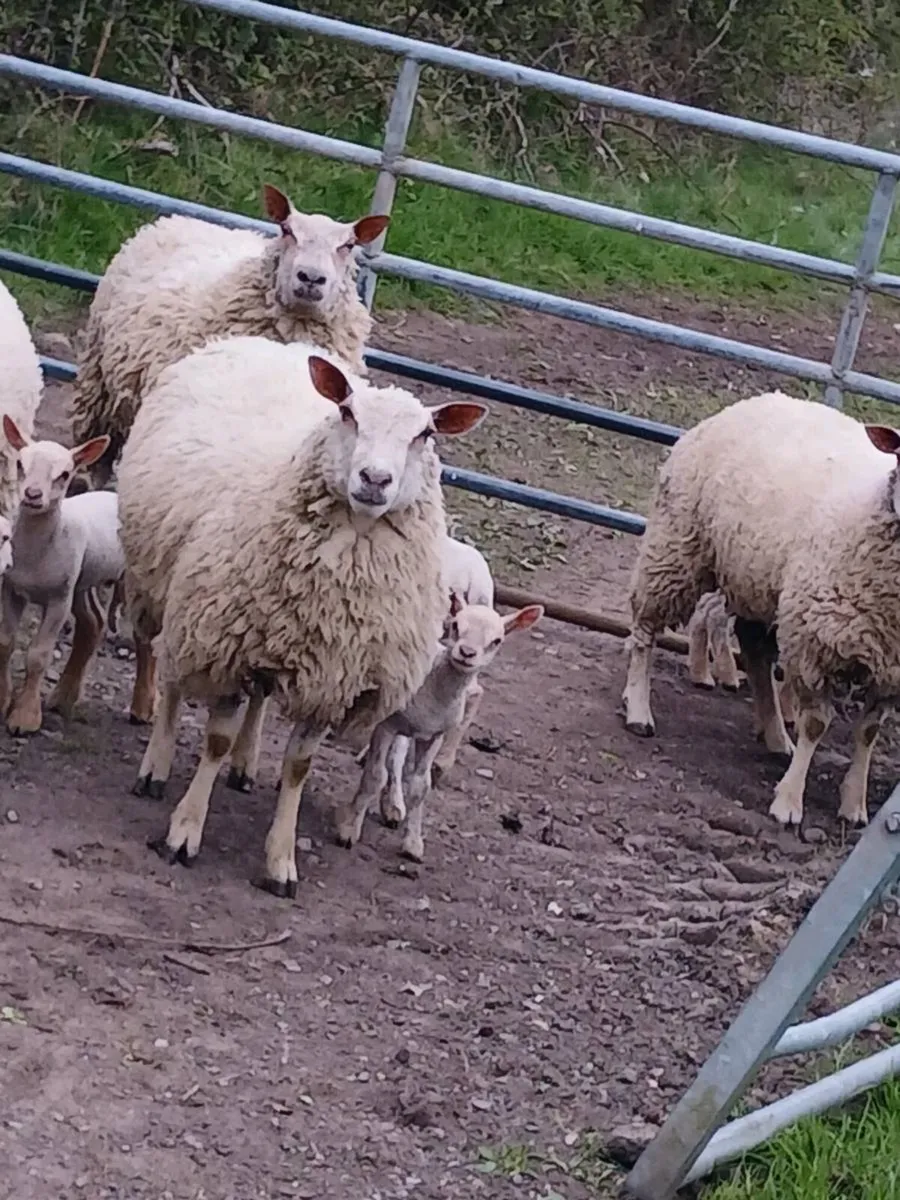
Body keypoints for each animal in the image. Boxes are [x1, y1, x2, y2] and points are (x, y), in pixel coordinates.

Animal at [0, 416, 123, 735]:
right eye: (20, 464)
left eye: (65, 474)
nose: (32, 495)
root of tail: (114, 493)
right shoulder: (13, 590)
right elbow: (6, 642)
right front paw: (3, 701)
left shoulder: (58, 600)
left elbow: (38, 656)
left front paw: (25, 716)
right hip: (82, 579)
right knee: (93, 622)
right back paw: (63, 697)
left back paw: (142, 708)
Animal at [116, 337, 487, 896]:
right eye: (348, 413)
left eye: (425, 434)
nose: (374, 479)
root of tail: (266, 342)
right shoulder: (225, 646)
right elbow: (215, 741)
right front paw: (184, 833)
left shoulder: (333, 678)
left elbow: (298, 766)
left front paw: (281, 861)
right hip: (173, 595)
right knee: (172, 677)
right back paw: (154, 768)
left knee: (261, 697)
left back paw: (246, 765)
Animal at [336, 595, 543, 863]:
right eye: (455, 625)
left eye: (497, 641)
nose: (467, 653)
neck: (436, 690)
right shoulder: (386, 724)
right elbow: (374, 776)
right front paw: (349, 829)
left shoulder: (433, 735)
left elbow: (420, 787)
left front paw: (413, 843)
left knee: (397, 757)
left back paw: (393, 806)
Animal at [622, 390, 900, 826]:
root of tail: (758, 399)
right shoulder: (815, 645)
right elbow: (816, 725)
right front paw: (789, 802)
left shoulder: (891, 669)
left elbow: (868, 733)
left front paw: (854, 805)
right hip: (676, 547)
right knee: (645, 630)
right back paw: (638, 707)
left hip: (757, 585)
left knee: (754, 654)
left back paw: (774, 735)